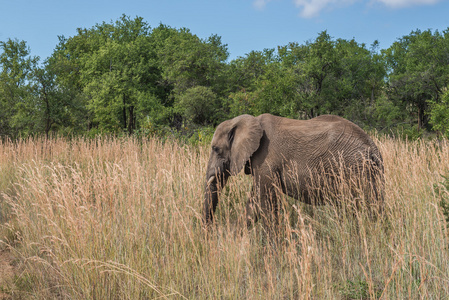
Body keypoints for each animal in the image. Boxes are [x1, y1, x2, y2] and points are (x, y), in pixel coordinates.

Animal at [202, 113, 382, 225]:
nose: (209, 234)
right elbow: (254, 204)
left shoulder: (266, 160)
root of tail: (373, 148)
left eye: (216, 149)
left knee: (361, 207)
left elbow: (265, 202)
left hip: (354, 169)